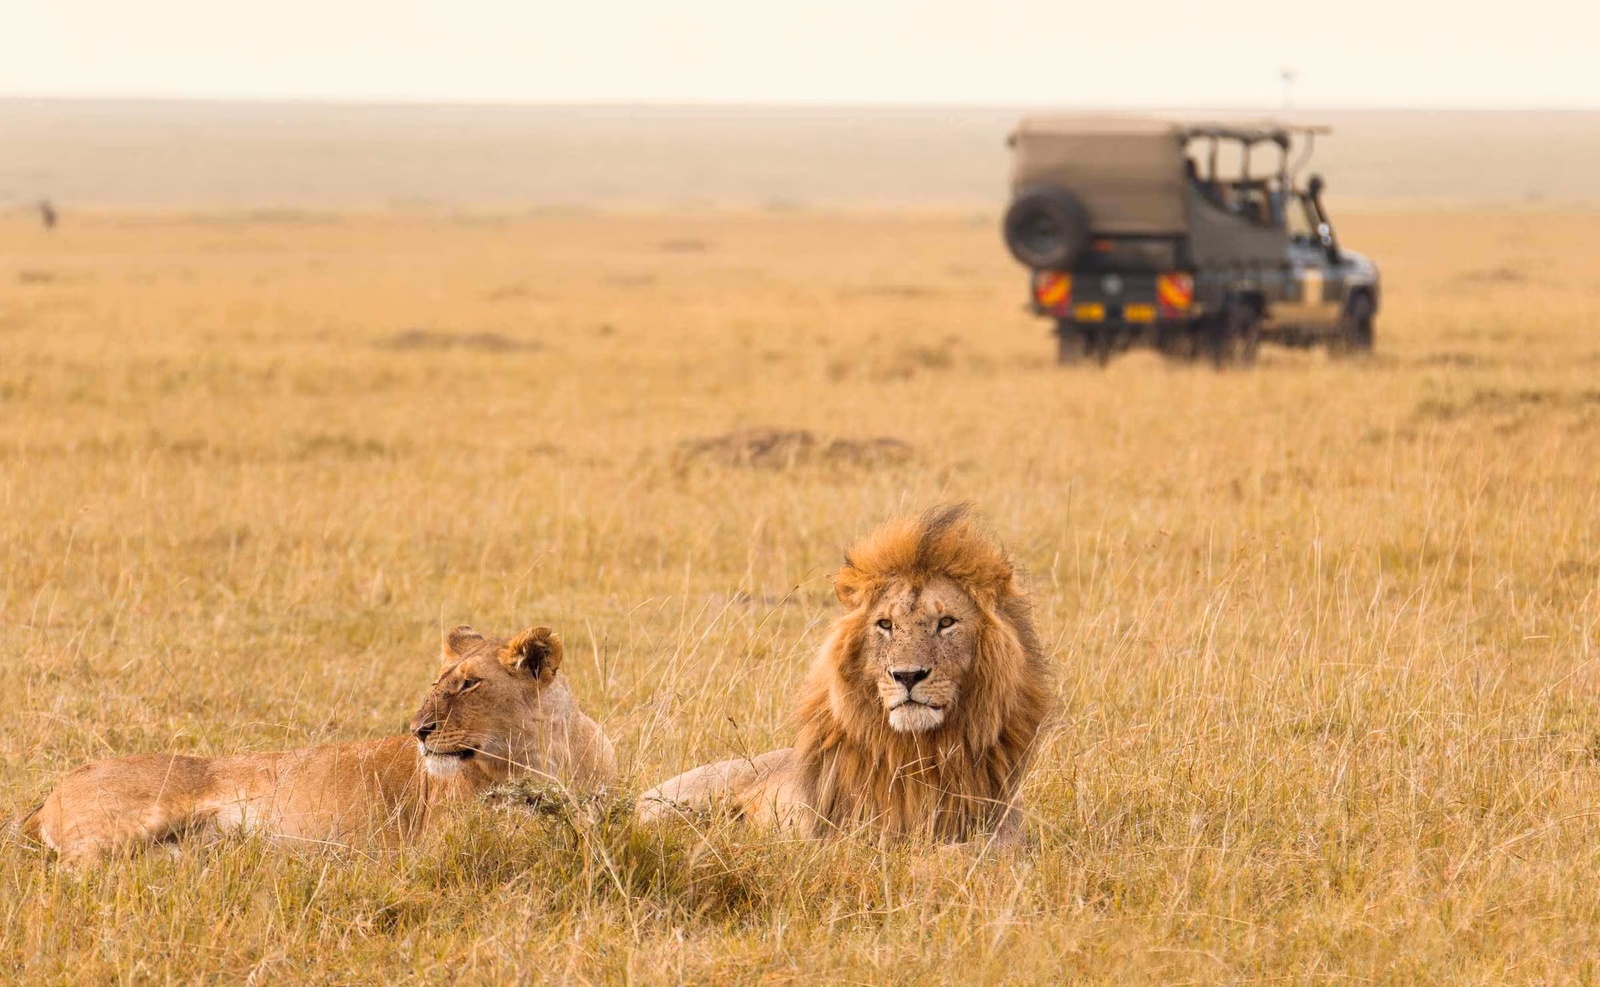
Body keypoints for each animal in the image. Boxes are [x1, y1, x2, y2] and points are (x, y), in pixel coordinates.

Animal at [19, 624, 616, 864]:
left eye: (469, 684)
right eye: (439, 680)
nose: (418, 730)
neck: (546, 757)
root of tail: (49, 795)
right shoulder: (445, 841)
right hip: (123, 825)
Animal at [638, 505, 1053, 845]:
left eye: (947, 622)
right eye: (885, 624)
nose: (907, 676)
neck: (918, 752)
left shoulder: (1002, 831)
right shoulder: (836, 835)